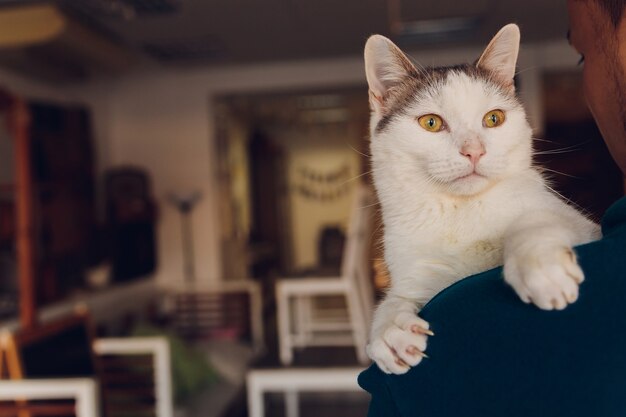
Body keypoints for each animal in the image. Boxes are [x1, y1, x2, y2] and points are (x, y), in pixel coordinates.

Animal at [366, 23, 600, 374]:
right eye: (431, 123)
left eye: (494, 119)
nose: (474, 151)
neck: (460, 213)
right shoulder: (421, 277)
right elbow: (397, 298)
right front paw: (389, 327)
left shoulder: (583, 227)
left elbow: (537, 218)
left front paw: (540, 263)